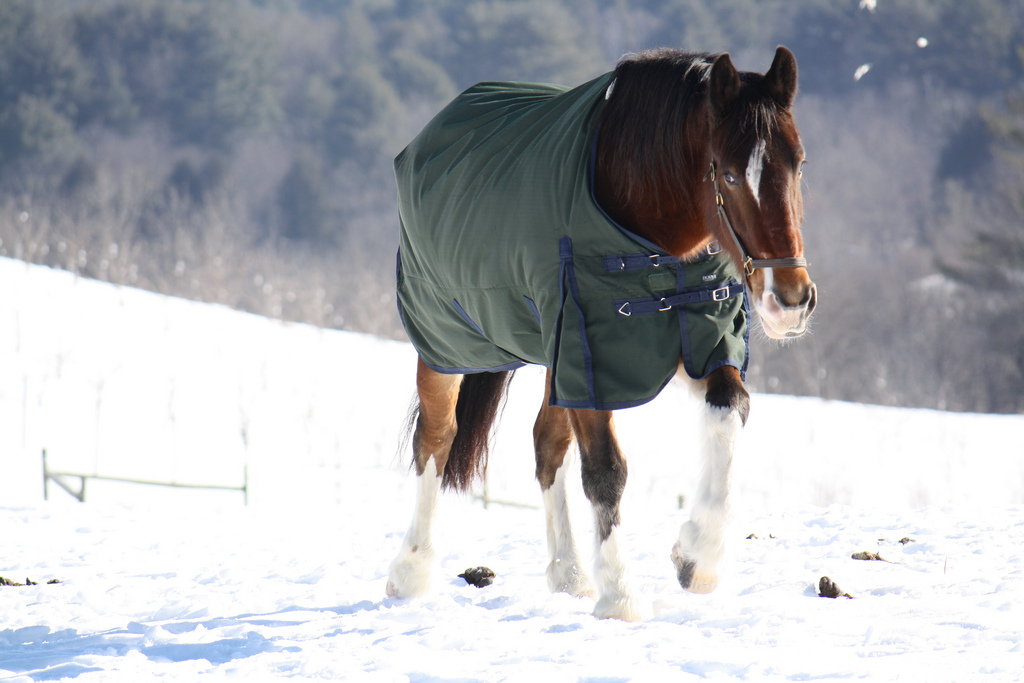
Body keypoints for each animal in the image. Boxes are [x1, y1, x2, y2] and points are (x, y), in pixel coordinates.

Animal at [385, 45, 815, 622]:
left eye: (798, 163)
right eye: (727, 175)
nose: (790, 301)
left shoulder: (694, 341)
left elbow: (730, 411)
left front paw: (696, 557)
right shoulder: (593, 358)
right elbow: (607, 471)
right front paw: (621, 596)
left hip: (555, 358)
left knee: (546, 444)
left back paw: (568, 574)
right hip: (447, 342)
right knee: (436, 438)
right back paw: (412, 570)